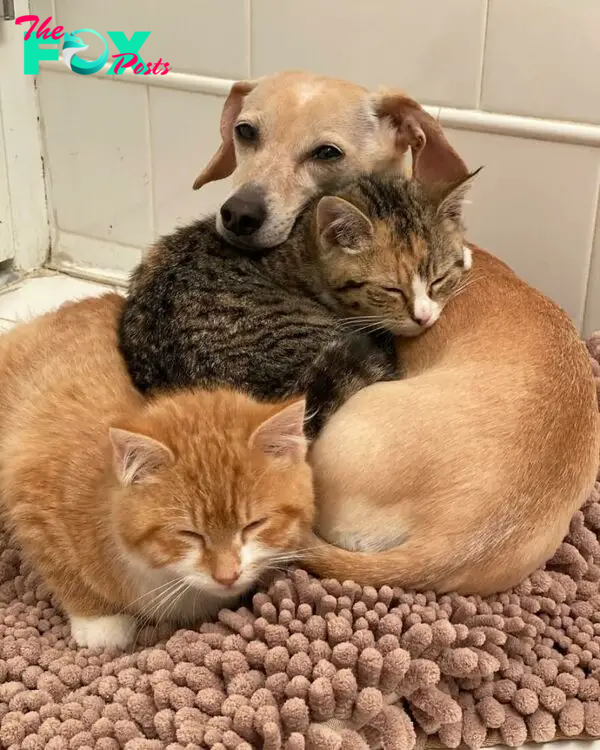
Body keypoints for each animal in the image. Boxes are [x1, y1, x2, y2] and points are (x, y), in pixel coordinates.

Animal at [0, 296, 314, 648]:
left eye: (254, 525)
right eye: (189, 534)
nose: (227, 575)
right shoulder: (30, 499)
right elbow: (62, 569)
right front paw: (98, 623)